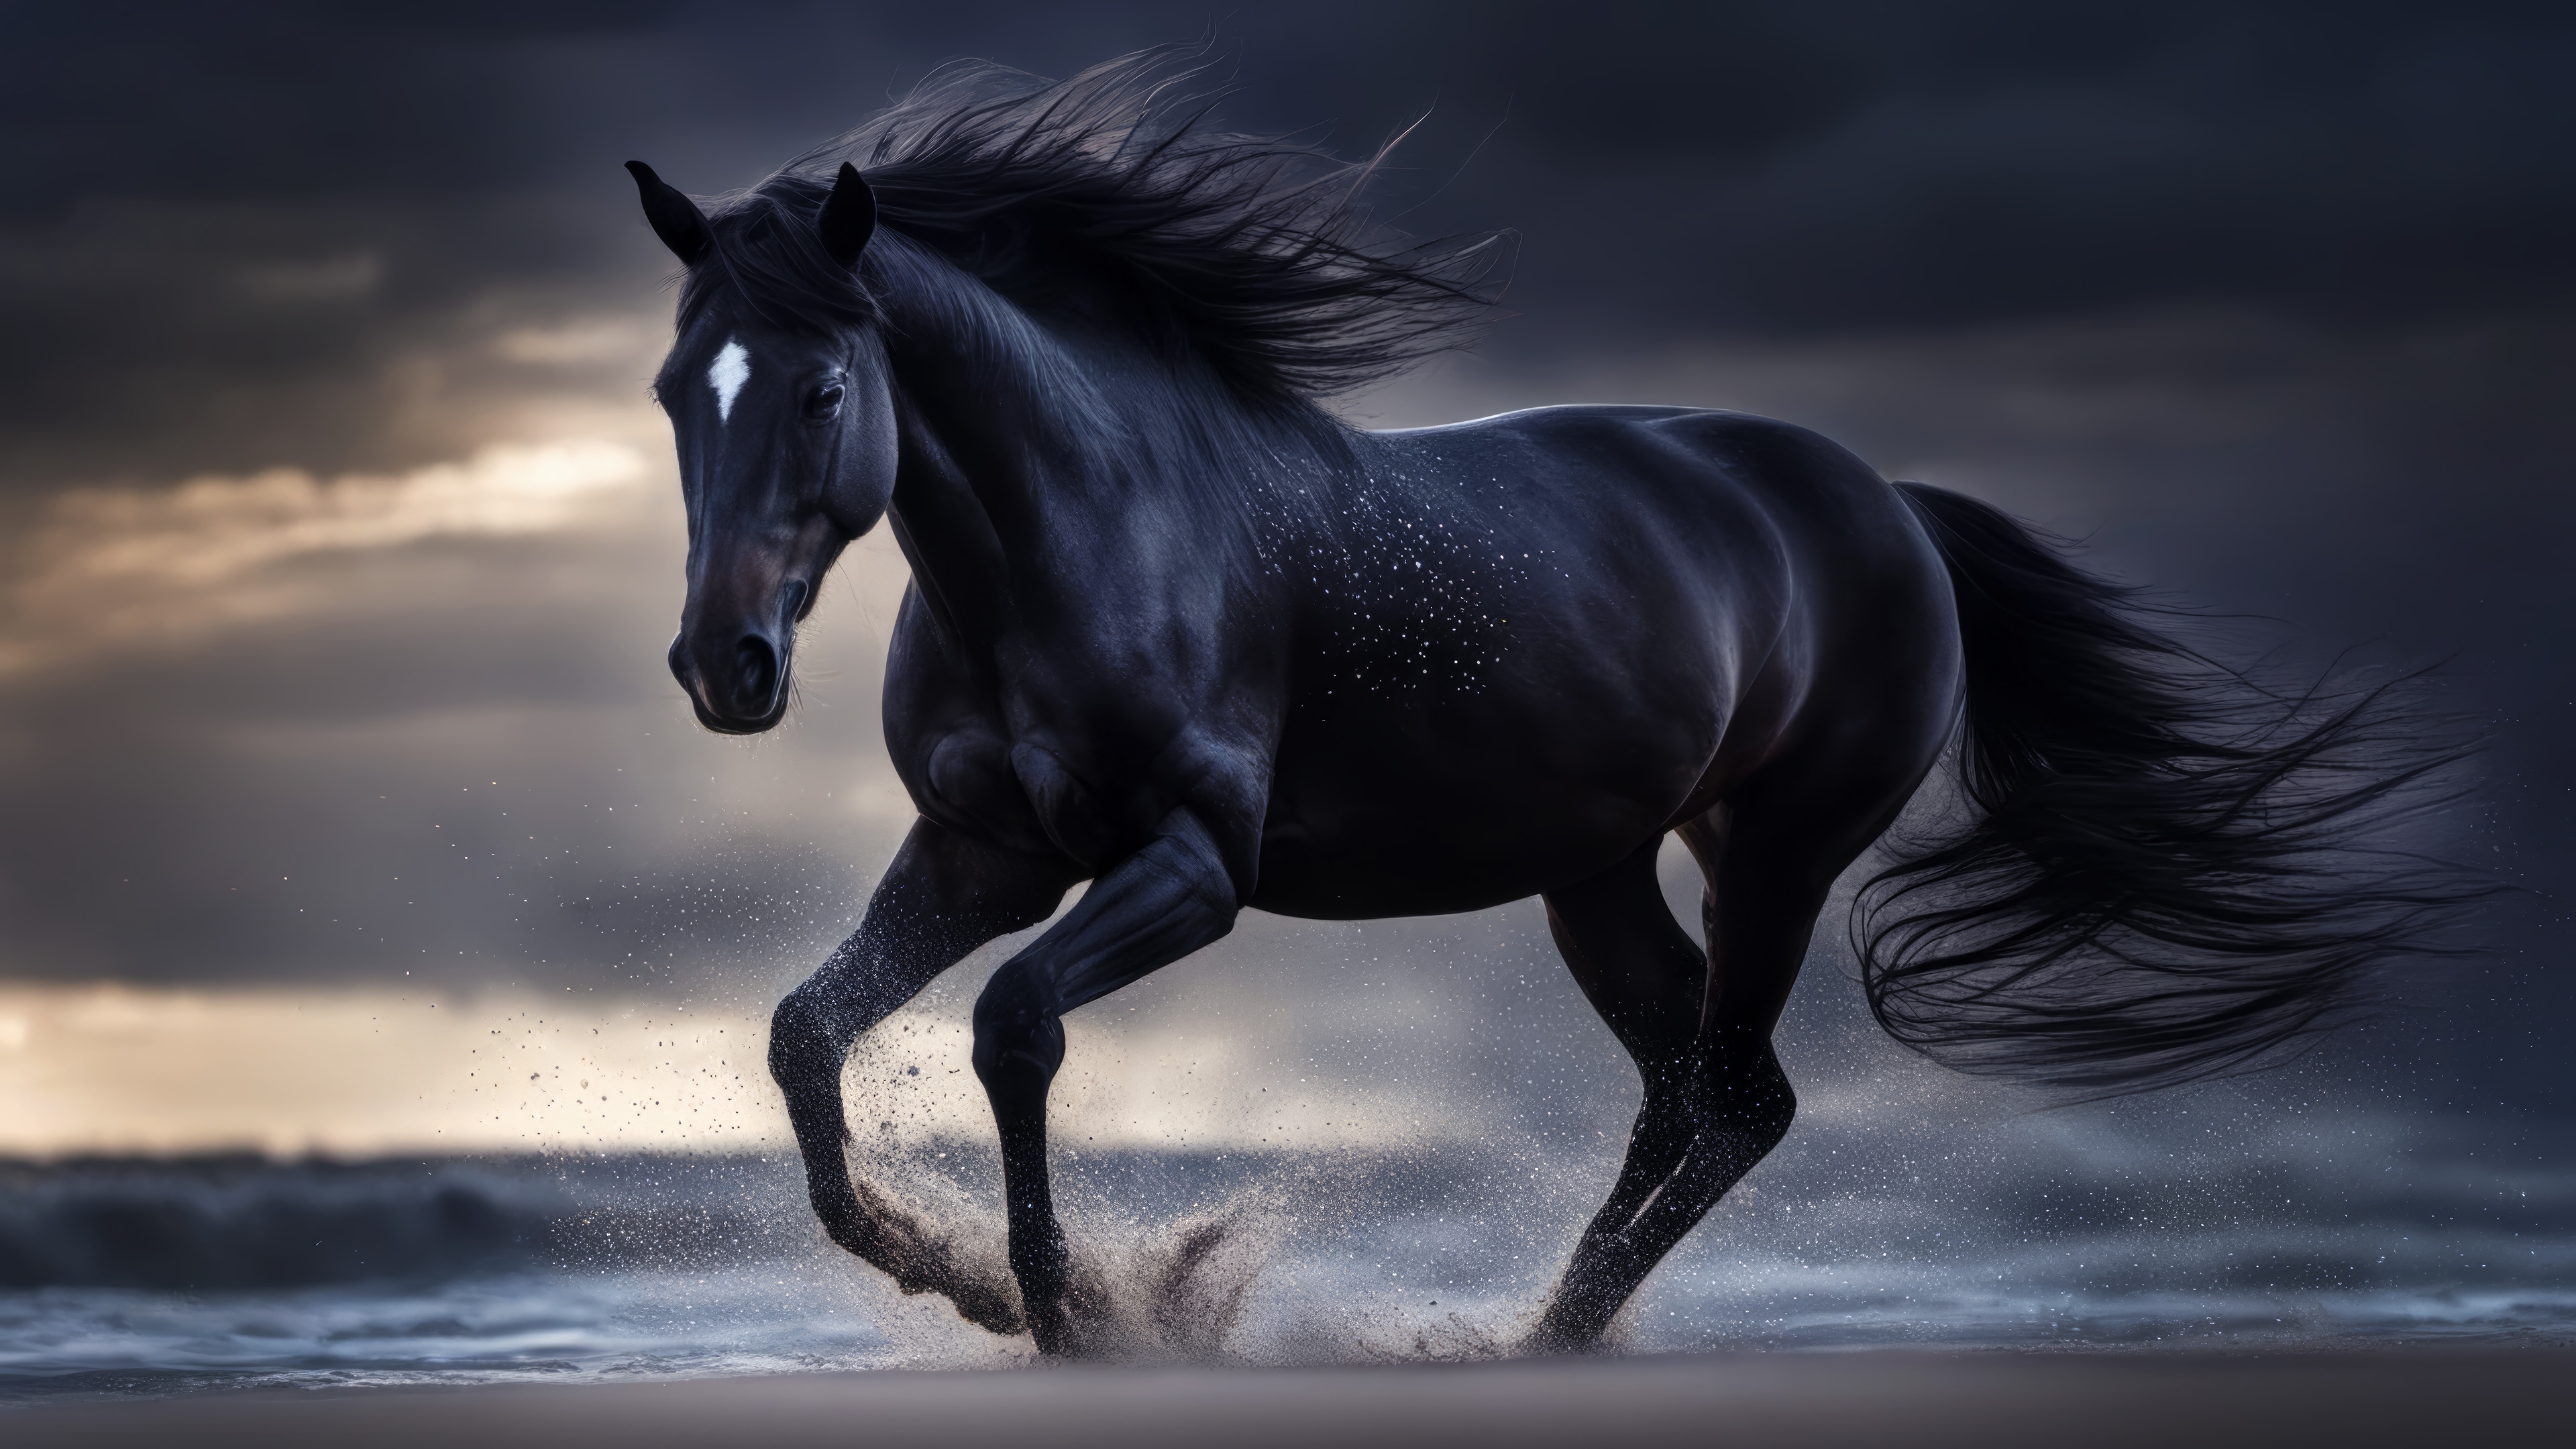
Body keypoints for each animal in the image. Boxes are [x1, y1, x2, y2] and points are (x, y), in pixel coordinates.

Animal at [625, 51, 2476, 1356]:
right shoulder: (981, 854)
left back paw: (1542, 1338)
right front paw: (958, 1283)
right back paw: (1534, 1331)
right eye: (669, 388)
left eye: (823, 388)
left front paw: (1072, 1313)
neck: (1086, 530)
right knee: (1683, 1094)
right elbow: (805, 1033)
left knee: (1737, 1101)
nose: (724, 670)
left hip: (1772, 856)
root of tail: (1888, 503)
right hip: (1596, 872)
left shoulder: (1194, 868)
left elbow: (1013, 1024)